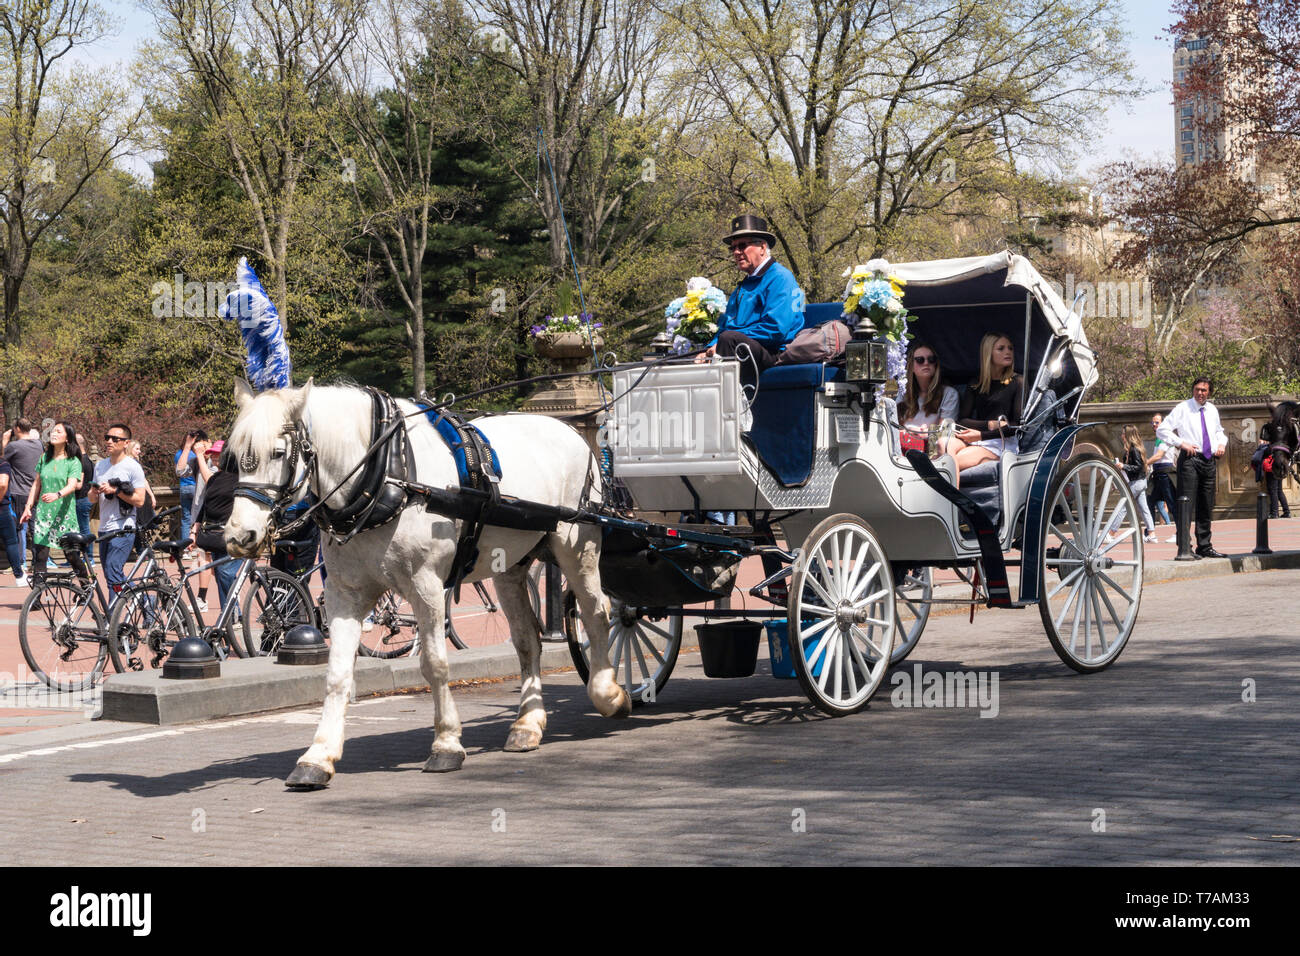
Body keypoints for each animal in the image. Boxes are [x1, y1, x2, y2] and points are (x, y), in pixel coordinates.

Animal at [223, 377, 629, 790]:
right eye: (235, 457)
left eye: (277, 453)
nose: (239, 536)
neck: (388, 474)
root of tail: (571, 431)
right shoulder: (344, 594)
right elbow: (337, 674)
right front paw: (318, 755)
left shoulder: (426, 586)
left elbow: (434, 664)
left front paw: (446, 743)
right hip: (510, 565)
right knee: (528, 640)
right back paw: (527, 724)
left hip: (577, 545)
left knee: (597, 614)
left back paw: (609, 693)